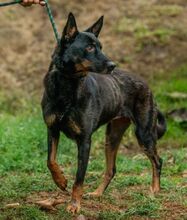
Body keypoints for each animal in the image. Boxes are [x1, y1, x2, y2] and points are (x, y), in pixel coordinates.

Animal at [41, 12, 167, 214]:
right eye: (90, 47)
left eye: (101, 47)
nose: (113, 65)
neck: (67, 85)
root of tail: (144, 83)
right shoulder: (52, 129)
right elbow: (50, 160)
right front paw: (60, 181)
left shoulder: (84, 140)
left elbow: (79, 178)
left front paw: (74, 205)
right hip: (112, 136)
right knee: (111, 169)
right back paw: (97, 193)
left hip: (144, 134)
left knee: (158, 160)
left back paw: (154, 190)